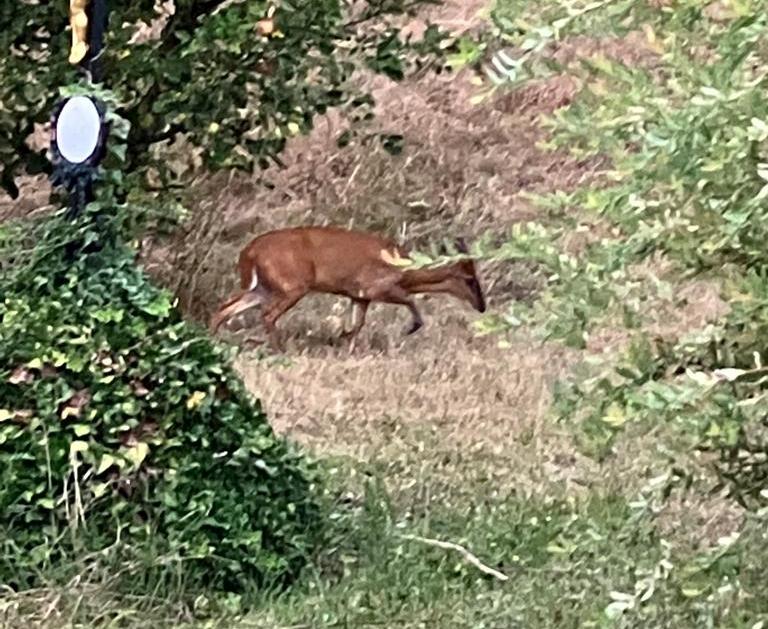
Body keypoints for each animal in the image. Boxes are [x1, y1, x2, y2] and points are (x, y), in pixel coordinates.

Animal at [210, 226, 486, 350]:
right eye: (470, 278)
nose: (482, 306)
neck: (405, 270)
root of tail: (248, 252)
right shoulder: (379, 288)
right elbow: (411, 302)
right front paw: (409, 328)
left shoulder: (359, 296)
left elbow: (358, 324)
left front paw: (344, 344)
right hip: (292, 286)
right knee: (267, 315)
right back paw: (280, 350)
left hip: (263, 287)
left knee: (224, 309)